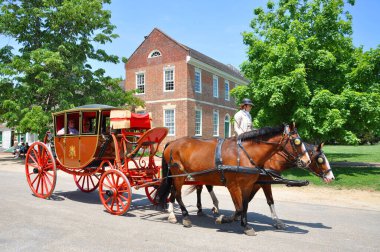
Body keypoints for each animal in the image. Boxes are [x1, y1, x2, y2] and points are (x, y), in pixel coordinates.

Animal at [156, 124, 310, 236]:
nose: (306, 161)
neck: (243, 154)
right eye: (297, 141)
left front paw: (242, 224)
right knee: (176, 194)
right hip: (179, 175)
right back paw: (184, 216)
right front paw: (227, 220)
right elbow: (239, 208)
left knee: (175, 193)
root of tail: (172, 143)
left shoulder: (248, 185)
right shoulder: (233, 186)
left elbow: (245, 206)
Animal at [194, 142, 334, 228]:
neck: (272, 160)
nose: (331, 177)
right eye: (320, 159)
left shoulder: (256, 183)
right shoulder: (264, 183)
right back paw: (208, 207)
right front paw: (277, 221)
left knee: (201, 187)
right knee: (204, 187)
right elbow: (270, 200)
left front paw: (237, 216)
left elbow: (248, 200)